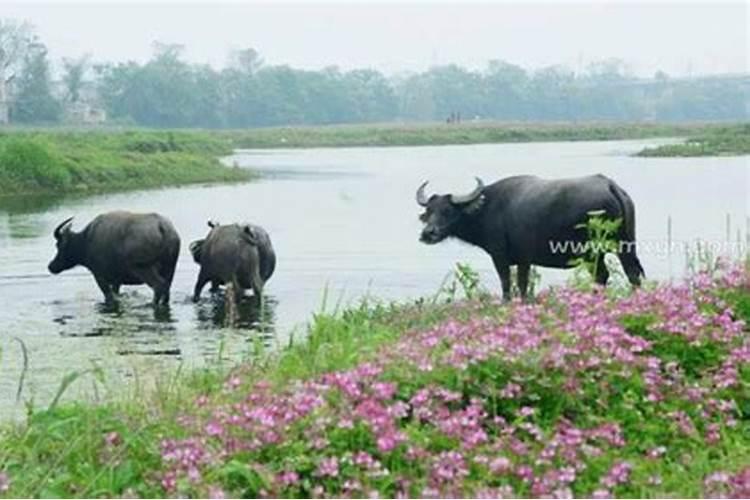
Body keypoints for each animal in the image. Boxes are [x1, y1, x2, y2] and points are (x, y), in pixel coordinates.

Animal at [47, 210, 181, 304]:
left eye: (59, 245)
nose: (51, 266)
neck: (86, 241)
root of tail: (163, 228)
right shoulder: (117, 280)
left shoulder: (99, 276)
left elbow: (109, 297)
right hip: (170, 269)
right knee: (166, 288)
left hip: (144, 268)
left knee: (158, 286)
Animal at [418, 175, 648, 300]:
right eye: (429, 211)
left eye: (448, 211)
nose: (428, 233)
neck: (487, 209)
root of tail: (610, 185)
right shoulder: (523, 260)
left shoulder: (505, 256)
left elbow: (511, 283)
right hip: (621, 246)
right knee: (615, 274)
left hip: (600, 250)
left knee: (620, 274)